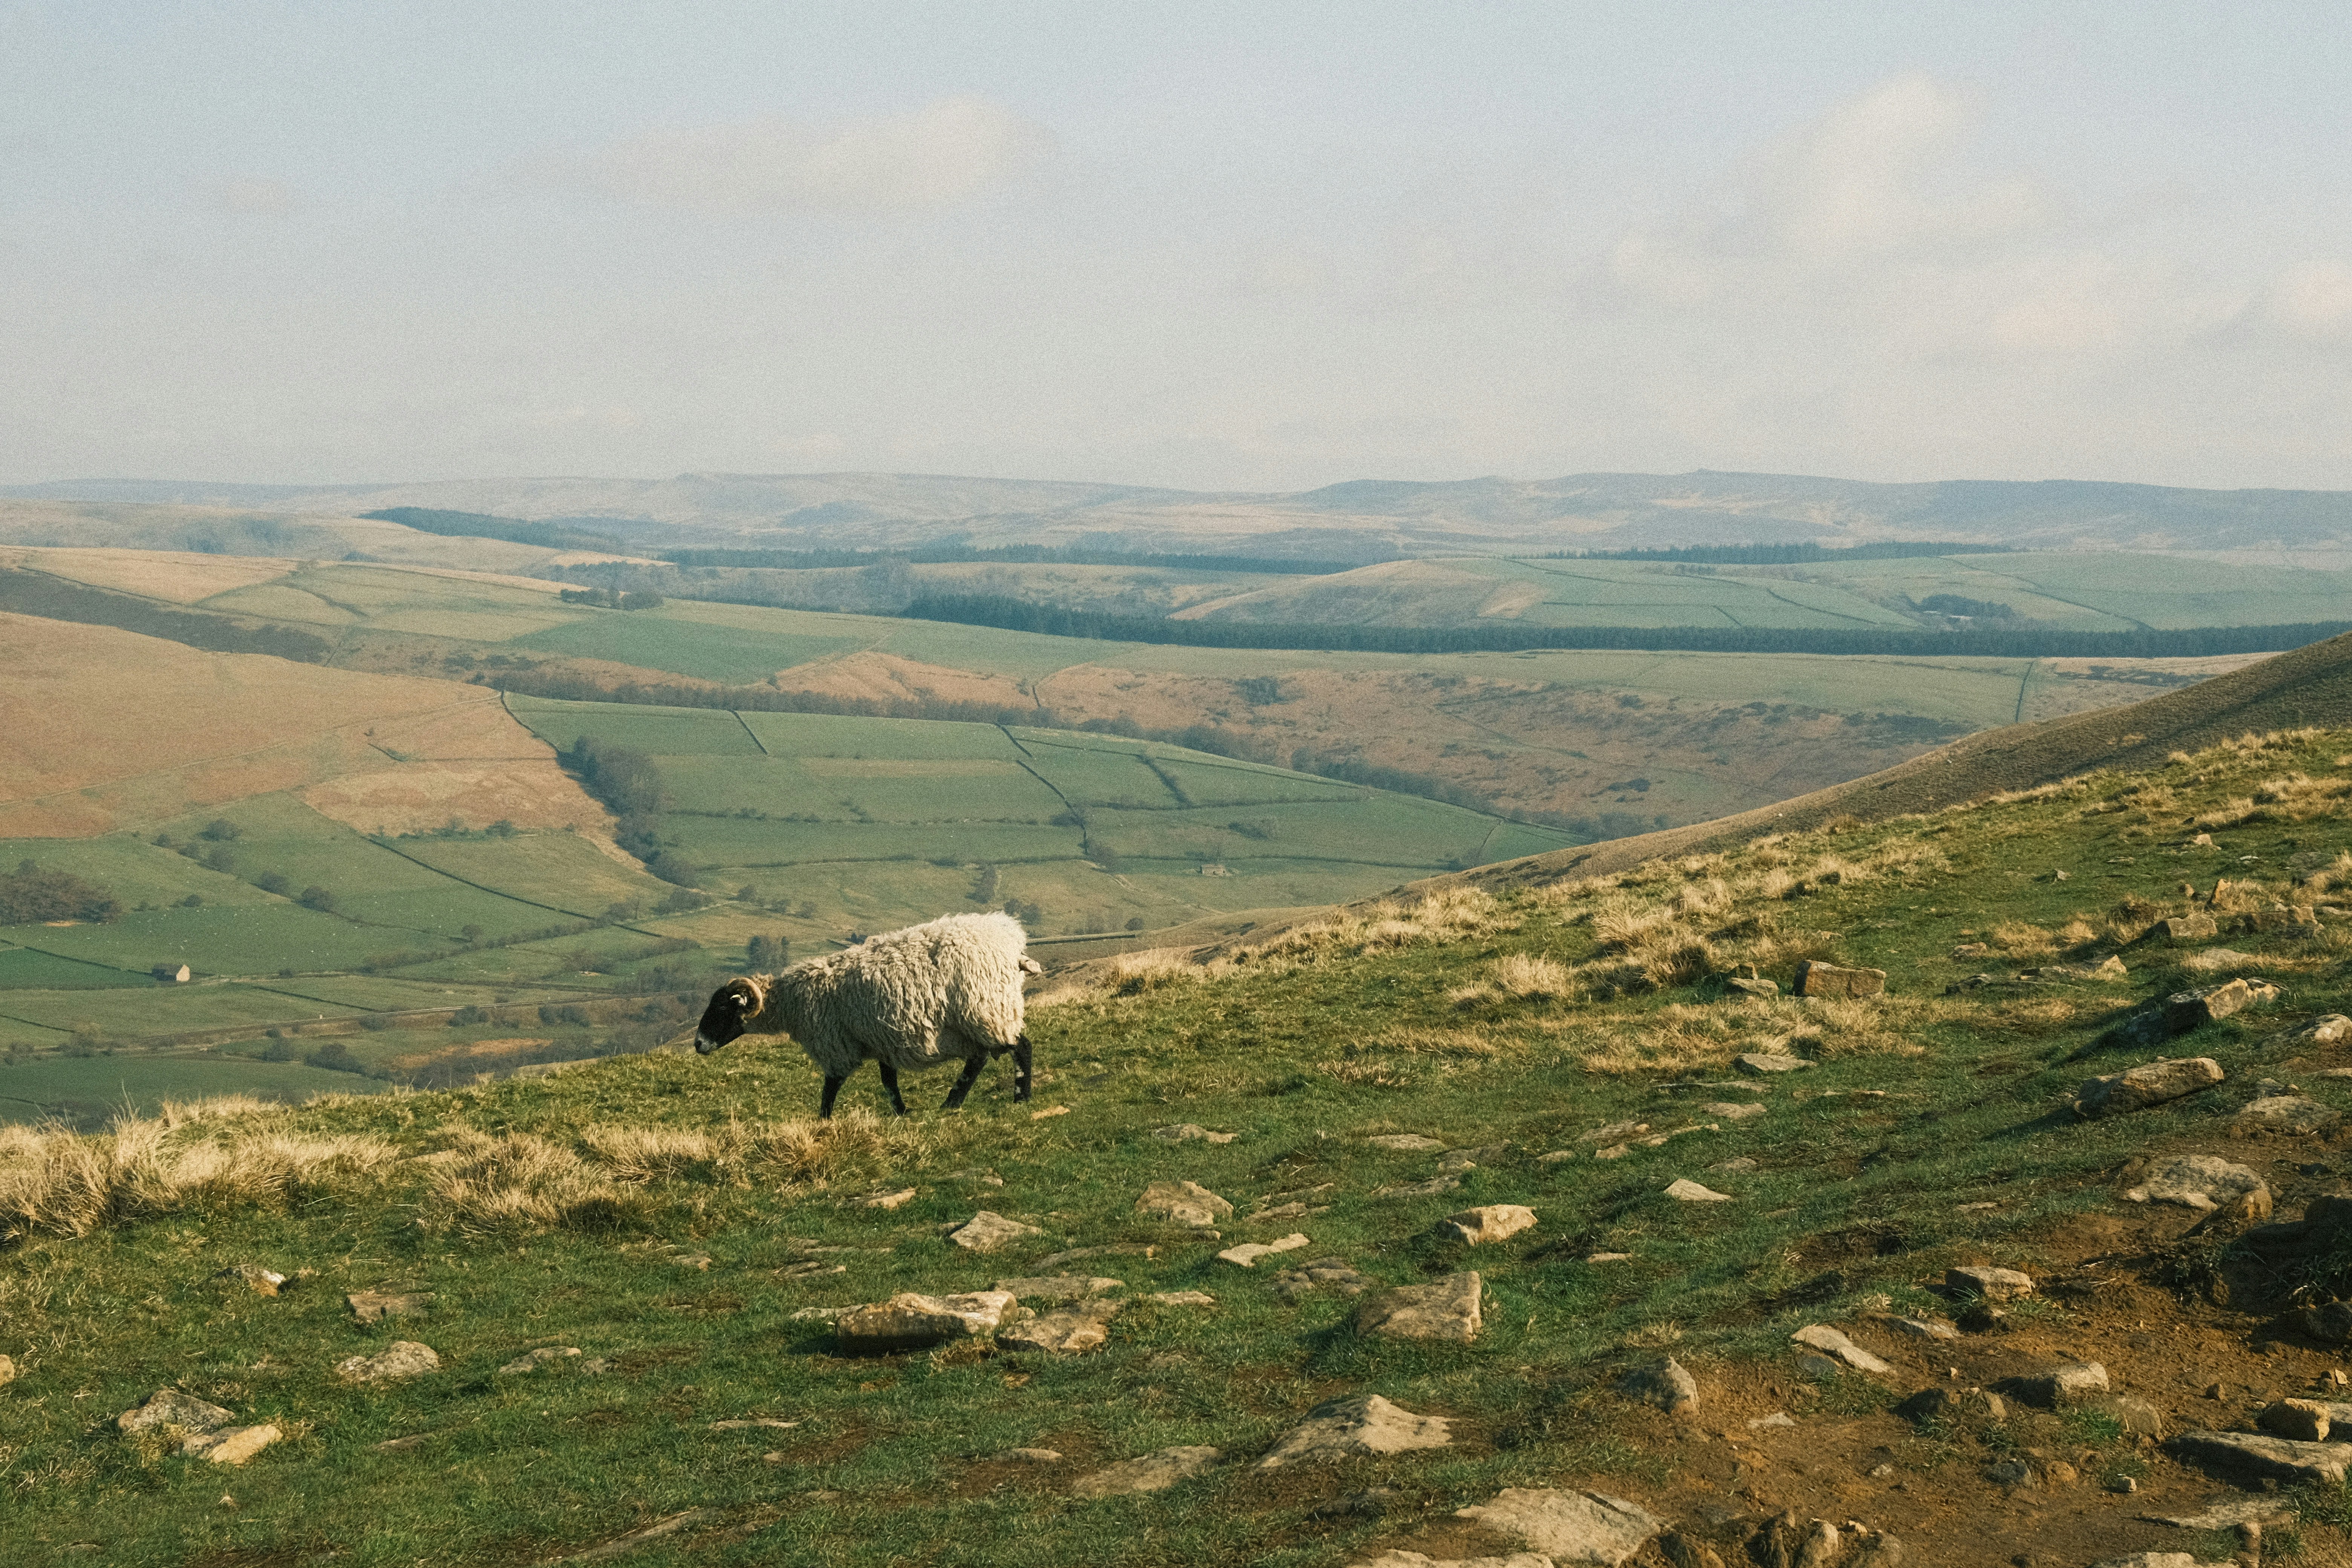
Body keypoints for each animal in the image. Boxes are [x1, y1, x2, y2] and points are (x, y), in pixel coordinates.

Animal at [693, 911, 1045, 1118]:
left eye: (722, 1008)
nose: (698, 1044)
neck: (794, 1003)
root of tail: (1011, 940)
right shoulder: (882, 1040)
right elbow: (888, 1081)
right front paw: (902, 1113)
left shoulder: (837, 1043)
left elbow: (831, 1085)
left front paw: (824, 1120)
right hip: (973, 1020)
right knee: (980, 1058)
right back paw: (952, 1103)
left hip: (987, 1008)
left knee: (1021, 1048)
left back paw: (1021, 1098)